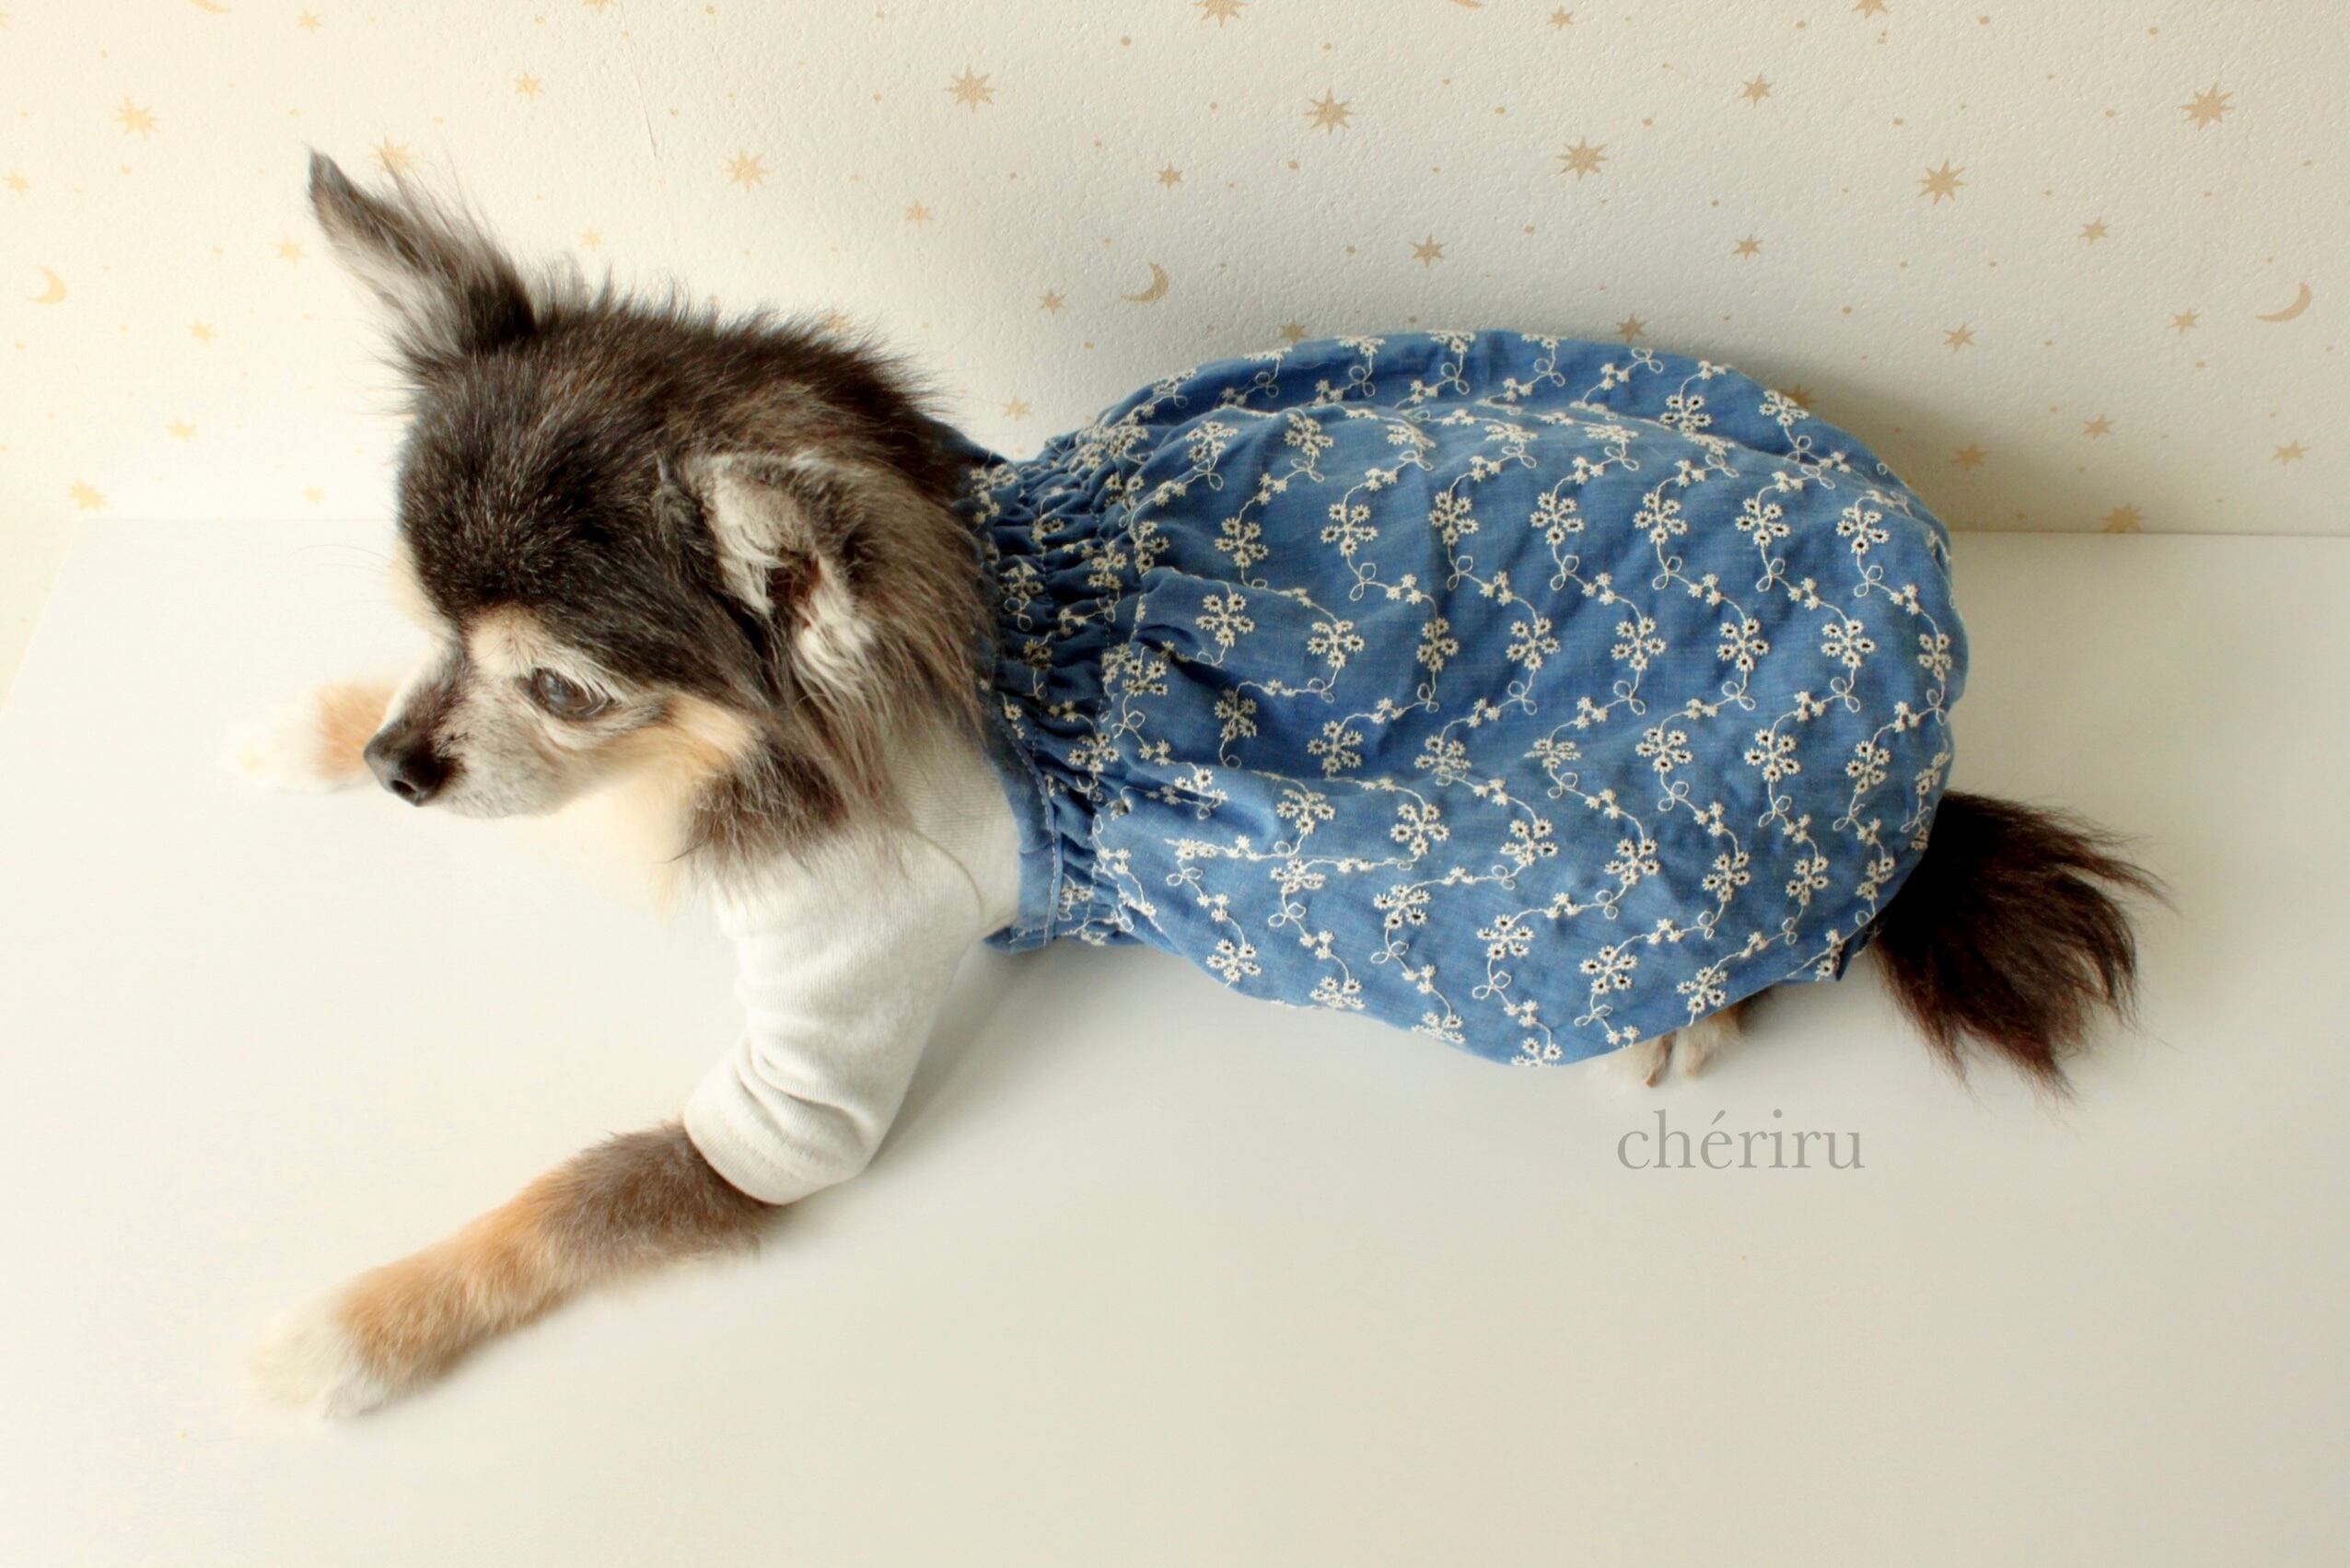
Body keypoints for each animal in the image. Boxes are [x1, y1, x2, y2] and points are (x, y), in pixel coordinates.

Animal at [237, 155, 2157, 1417]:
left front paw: (346, 1332)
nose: (402, 764)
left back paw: (1682, 1019)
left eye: (566, 687)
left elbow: (568, 1201)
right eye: (423, 626)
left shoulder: (802, 1081)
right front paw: (294, 727)